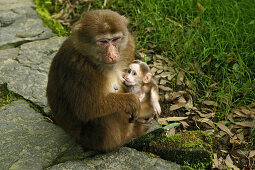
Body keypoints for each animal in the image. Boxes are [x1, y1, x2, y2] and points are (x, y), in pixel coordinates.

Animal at [46, 9, 150, 152]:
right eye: (103, 41)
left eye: (115, 39)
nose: (113, 55)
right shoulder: (79, 68)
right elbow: (87, 108)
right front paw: (132, 101)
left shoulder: (129, 46)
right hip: (95, 139)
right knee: (106, 114)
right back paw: (131, 135)